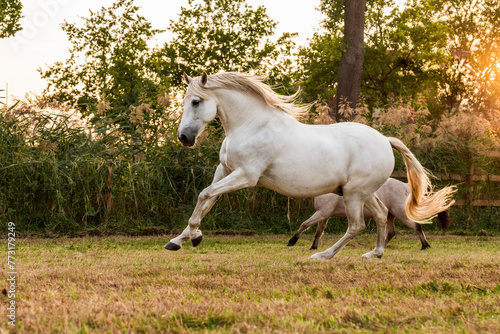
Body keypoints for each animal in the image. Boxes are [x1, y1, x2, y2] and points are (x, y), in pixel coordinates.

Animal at [166, 72, 456, 260]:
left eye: (196, 102)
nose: (184, 138)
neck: (251, 125)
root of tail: (385, 140)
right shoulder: (224, 171)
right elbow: (206, 200)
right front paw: (178, 241)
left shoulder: (246, 176)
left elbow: (204, 195)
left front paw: (195, 237)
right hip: (363, 193)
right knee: (382, 215)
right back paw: (375, 253)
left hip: (354, 195)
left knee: (357, 226)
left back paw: (324, 255)